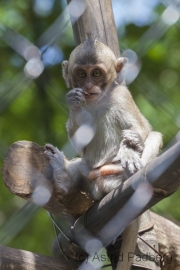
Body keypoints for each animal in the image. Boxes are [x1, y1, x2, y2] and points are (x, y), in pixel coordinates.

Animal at [44, 36, 163, 200]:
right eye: (81, 74)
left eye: (96, 74)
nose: (88, 86)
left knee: (154, 136)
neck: (98, 102)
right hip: (92, 180)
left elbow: (140, 128)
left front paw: (130, 148)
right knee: (82, 165)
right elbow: (81, 145)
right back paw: (63, 176)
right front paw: (74, 103)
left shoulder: (121, 95)